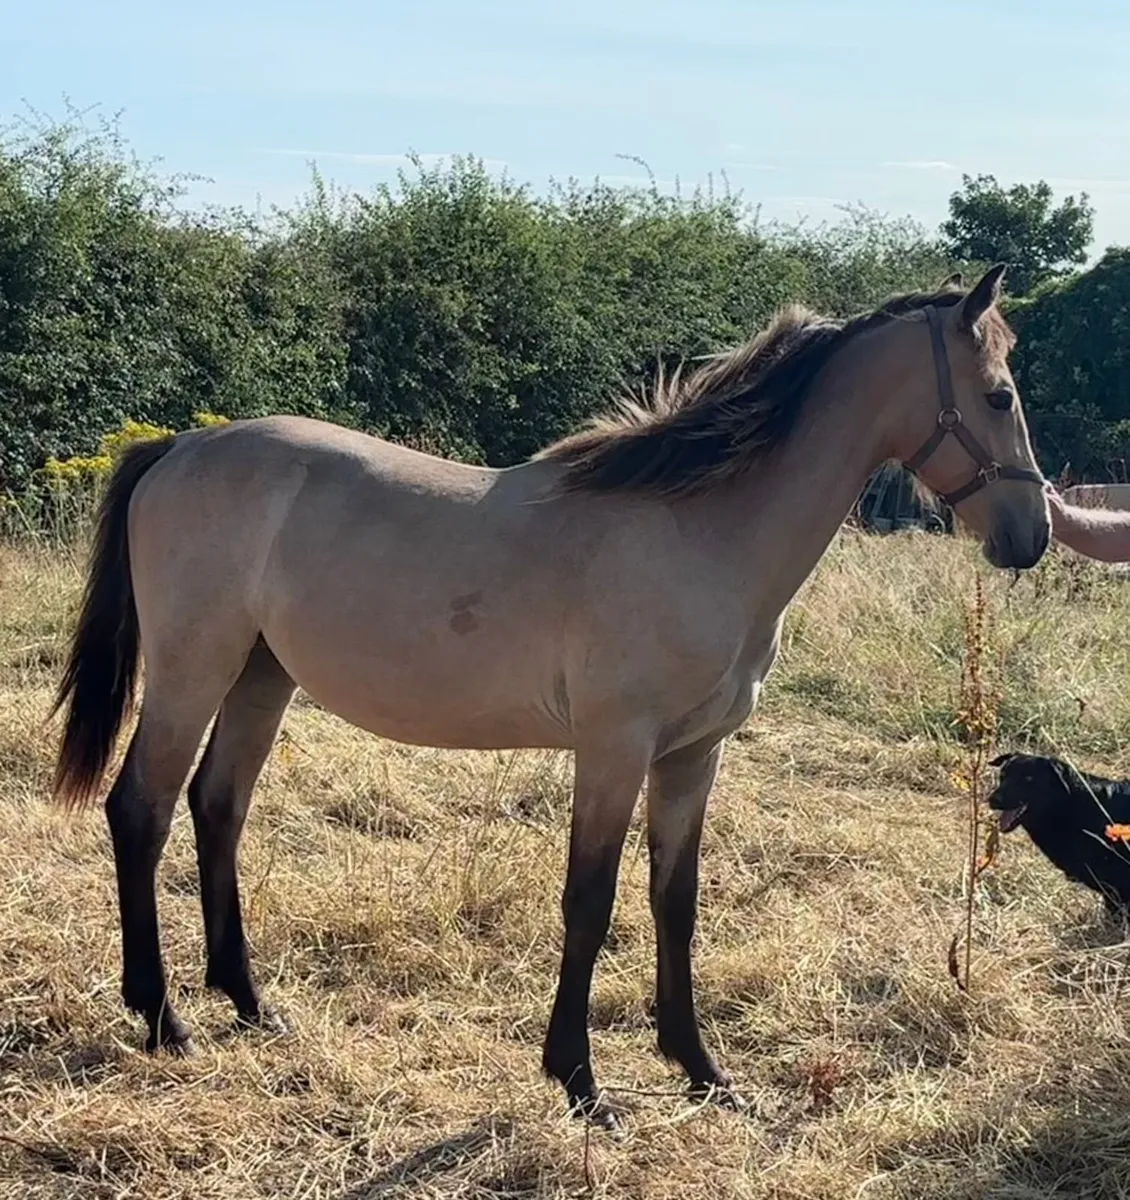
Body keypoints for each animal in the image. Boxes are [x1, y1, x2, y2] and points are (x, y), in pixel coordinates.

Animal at [49, 264, 1049, 1130]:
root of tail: (178, 447)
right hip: (192, 673)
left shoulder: (693, 757)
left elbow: (674, 901)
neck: (699, 529)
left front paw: (701, 1070)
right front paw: (580, 1082)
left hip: (262, 677)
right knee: (141, 811)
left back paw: (251, 1005)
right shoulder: (614, 750)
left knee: (219, 808)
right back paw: (163, 1019)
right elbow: (590, 902)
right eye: (999, 395)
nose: (1031, 535)